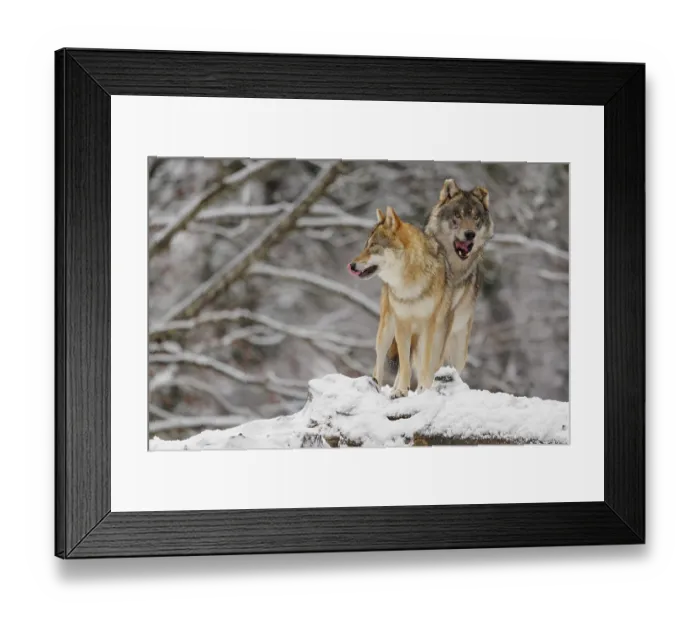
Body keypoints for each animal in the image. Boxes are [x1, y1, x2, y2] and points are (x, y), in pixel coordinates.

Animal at [348, 207, 453, 398]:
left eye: (373, 246)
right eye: (366, 245)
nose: (351, 265)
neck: (409, 282)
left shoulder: (429, 325)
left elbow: (424, 364)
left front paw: (423, 389)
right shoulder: (402, 323)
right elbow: (404, 365)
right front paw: (401, 391)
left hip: (435, 336)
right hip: (386, 332)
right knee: (380, 362)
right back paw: (376, 385)